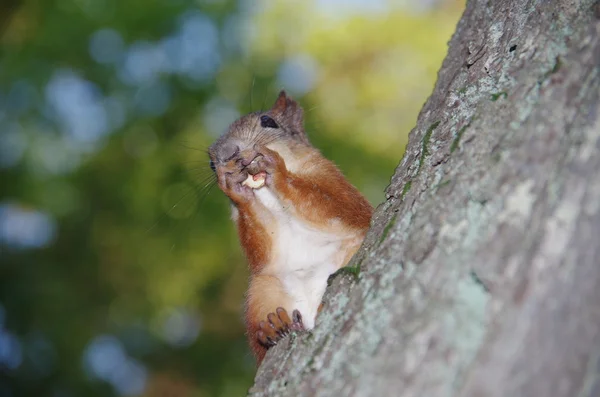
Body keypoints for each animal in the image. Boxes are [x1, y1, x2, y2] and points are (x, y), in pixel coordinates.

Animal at [209, 91, 372, 364]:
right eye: (211, 164)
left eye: (269, 121)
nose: (227, 154)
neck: (272, 198)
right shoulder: (268, 243)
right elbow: (262, 252)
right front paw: (236, 189)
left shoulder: (339, 187)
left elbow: (340, 207)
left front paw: (277, 170)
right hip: (262, 290)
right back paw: (273, 326)